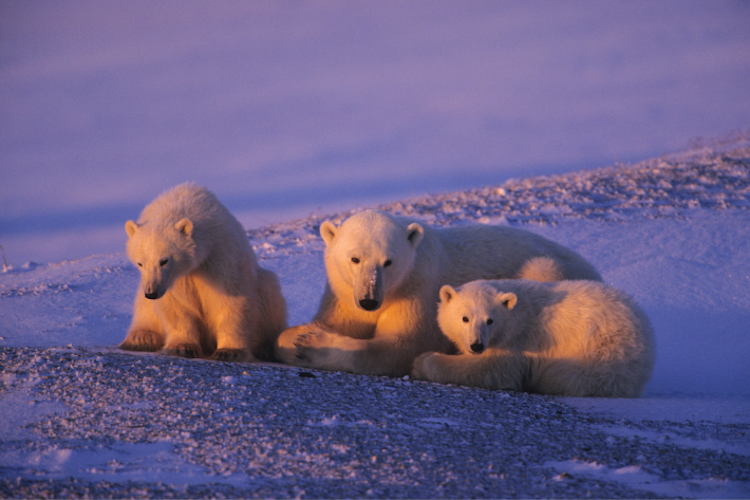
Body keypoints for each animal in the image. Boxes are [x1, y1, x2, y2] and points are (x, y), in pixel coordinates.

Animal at [119, 182, 287, 362]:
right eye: (140, 263)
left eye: (164, 260)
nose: (151, 293)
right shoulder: (176, 279)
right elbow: (175, 305)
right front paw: (182, 347)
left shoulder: (220, 256)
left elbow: (231, 299)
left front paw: (229, 351)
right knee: (143, 307)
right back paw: (141, 337)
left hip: (264, 288)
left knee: (270, 296)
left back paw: (266, 348)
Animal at [275, 209, 602, 377]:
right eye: (355, 258)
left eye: (388, 261)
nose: (369, 300)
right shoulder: (344, 294)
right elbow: (338, 322)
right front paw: (296, 335)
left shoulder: (418, 290)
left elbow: (398, 347)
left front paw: (311, 344)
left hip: (547, 269)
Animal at [411, 279, 655, 397]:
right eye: (465, 318)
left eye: (490, 320)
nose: (477, 345)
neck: (517, 314)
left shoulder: (518, 342)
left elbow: (492, 370)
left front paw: (420, 362)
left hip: (604, 352)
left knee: (565, 375)